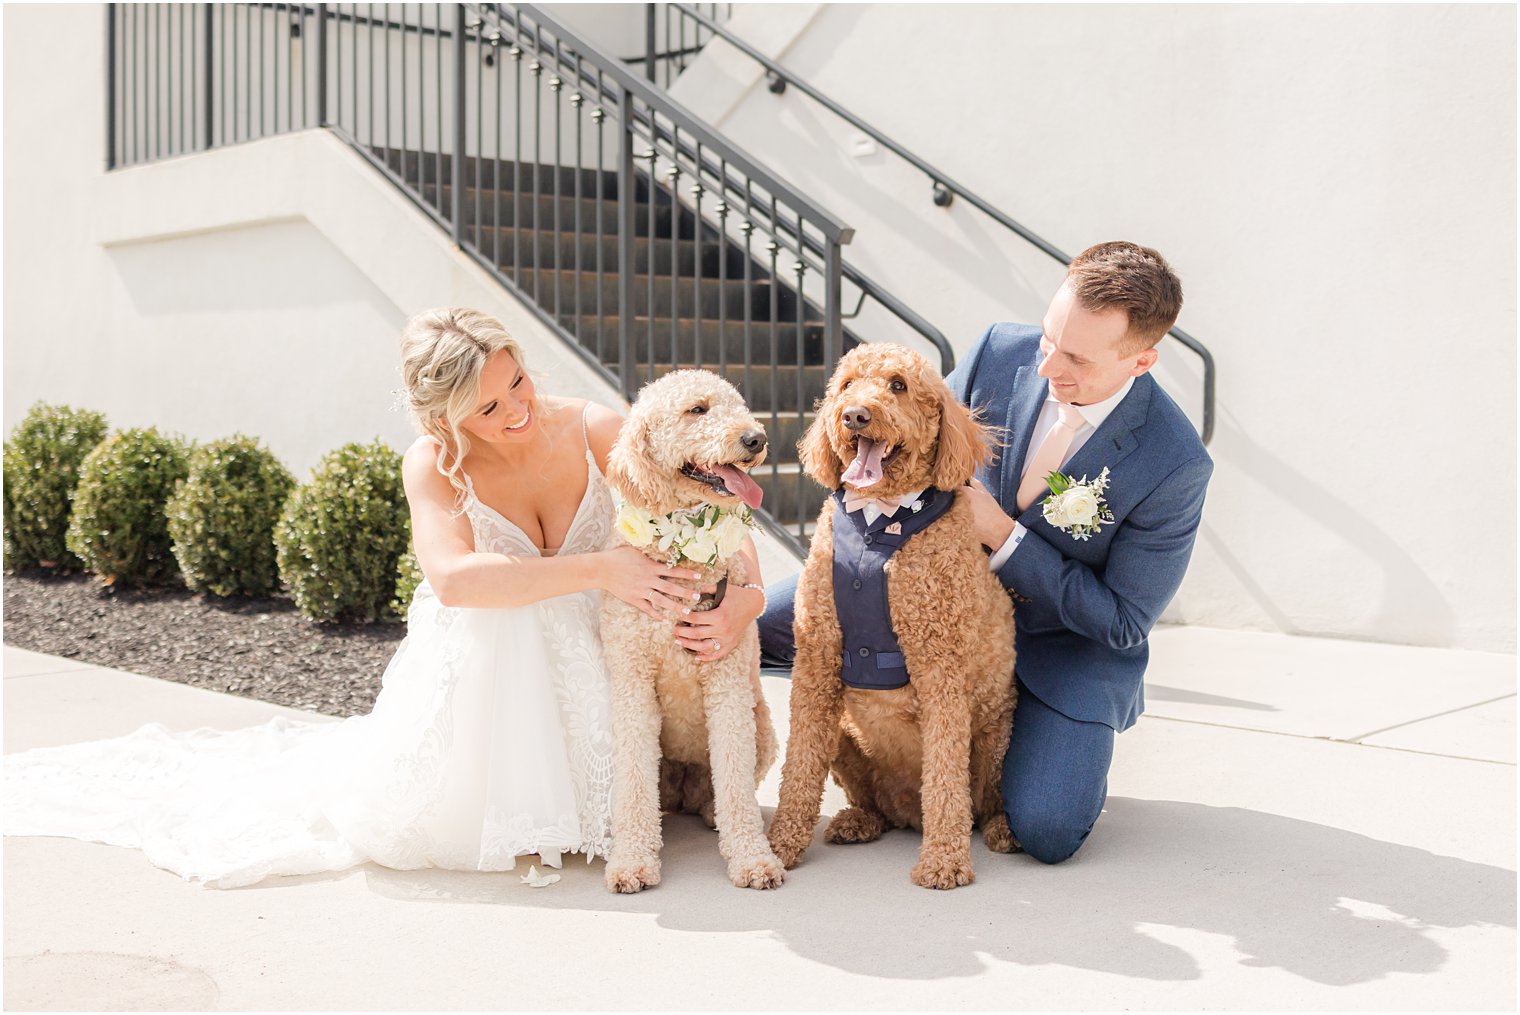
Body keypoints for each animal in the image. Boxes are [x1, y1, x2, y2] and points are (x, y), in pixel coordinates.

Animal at [595, 369, 784, 893]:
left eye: (738, 405)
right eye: (696, 409)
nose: (756, 439)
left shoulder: (727, 684)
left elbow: (735, 780)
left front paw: (752, 858)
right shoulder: (632, 682)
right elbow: (633, 783)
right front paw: (632, 860)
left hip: (762, 726)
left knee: (725, 787)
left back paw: (713, 812)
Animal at [766, 344, 1015, 893]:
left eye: (898, 385)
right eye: (846, 385)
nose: (855, 416)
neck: (878, 516)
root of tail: (908, 812)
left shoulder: (940, 668)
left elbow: (945, 775)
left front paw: (944, 862)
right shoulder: (816, 659)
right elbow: (799, 764)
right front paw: (778, 846)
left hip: (994, 735)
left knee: (982, 802)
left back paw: (1001, 830)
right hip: (843, 732)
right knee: (873, 803)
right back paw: (859, 821)